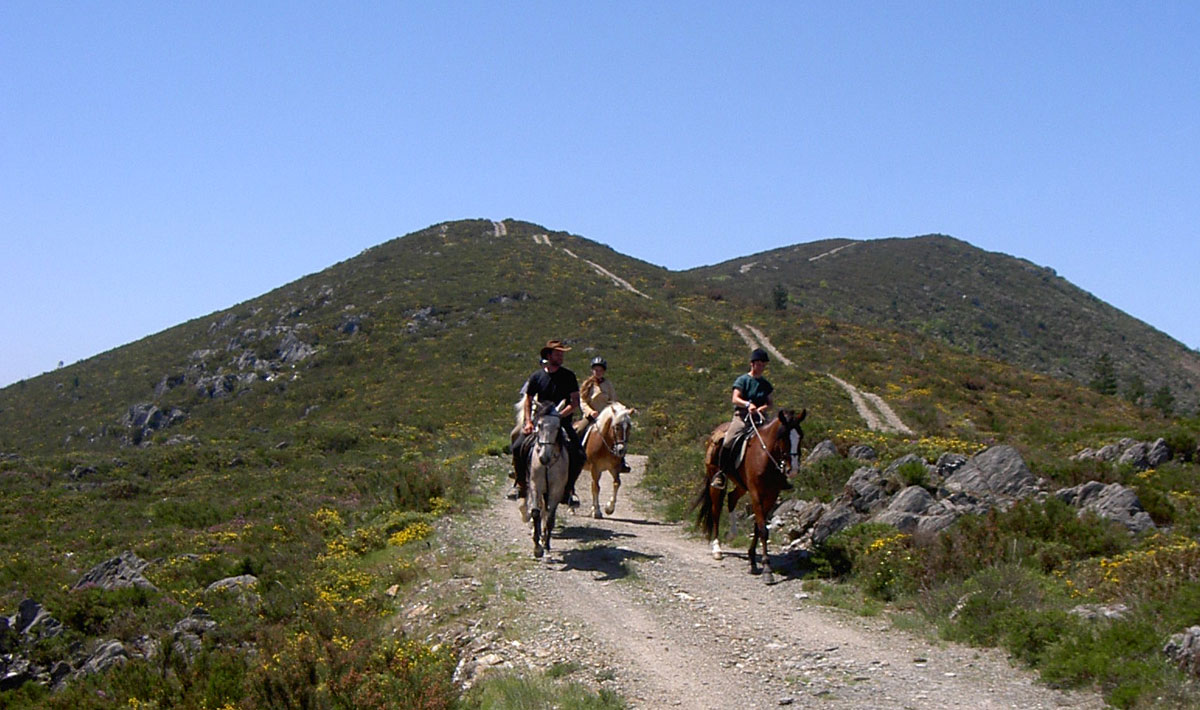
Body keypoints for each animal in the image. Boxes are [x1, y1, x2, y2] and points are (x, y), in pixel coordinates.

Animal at [518, 402, 568, 556]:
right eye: (539, 425)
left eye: (558, 426)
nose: (544, 457)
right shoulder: (536, 485)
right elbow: (535, 512)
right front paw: (537, 547)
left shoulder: (556, 489)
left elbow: (550, 516)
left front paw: (546, 544)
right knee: (538, 509)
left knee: (546, 511)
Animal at [696, 407, 806, 585]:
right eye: (783, 436)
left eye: (800, 436)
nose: (793, 470)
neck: (764, 456)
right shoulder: (756, 493)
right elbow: (762, 530)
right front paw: (767, 570)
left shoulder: (771, 495)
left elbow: (758, 527)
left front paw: (753, 560)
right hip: (716, 480)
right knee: (716, 510)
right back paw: (717, 549)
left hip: (741, 485)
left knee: (732, 498)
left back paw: (732, 534)